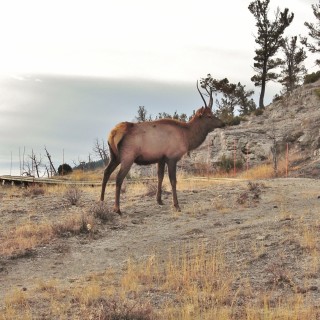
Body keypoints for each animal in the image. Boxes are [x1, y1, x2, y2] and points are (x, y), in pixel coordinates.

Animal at [100, 82, 222, 214]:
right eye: (209, 116)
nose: (223, 123)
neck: (187, 137)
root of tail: (113, 133)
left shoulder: (161, 158)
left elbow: (160, 177)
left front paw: (159, 200)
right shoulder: (171, 157)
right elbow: (173, 180)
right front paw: (176, 205)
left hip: (114, 156)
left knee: (106, 172)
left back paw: (101, 201)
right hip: (128, 156)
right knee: (118, 178)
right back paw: (117, 208)